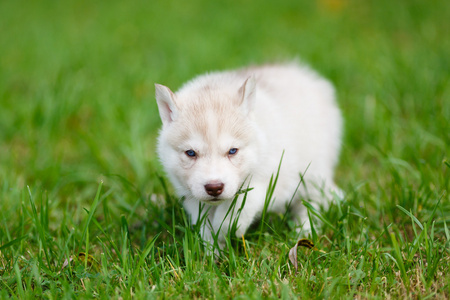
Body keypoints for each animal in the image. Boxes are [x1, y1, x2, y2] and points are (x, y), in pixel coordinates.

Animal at [154, 62, 342, 248]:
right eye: (191, 153)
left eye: (232, 151)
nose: (214, 187)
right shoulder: (191, 195)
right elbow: (204, 223)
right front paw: (212, 249)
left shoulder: (272, 179)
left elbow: (241, 205)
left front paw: (225, 228)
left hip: (314, 173)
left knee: (316, 201)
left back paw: (304, 228)